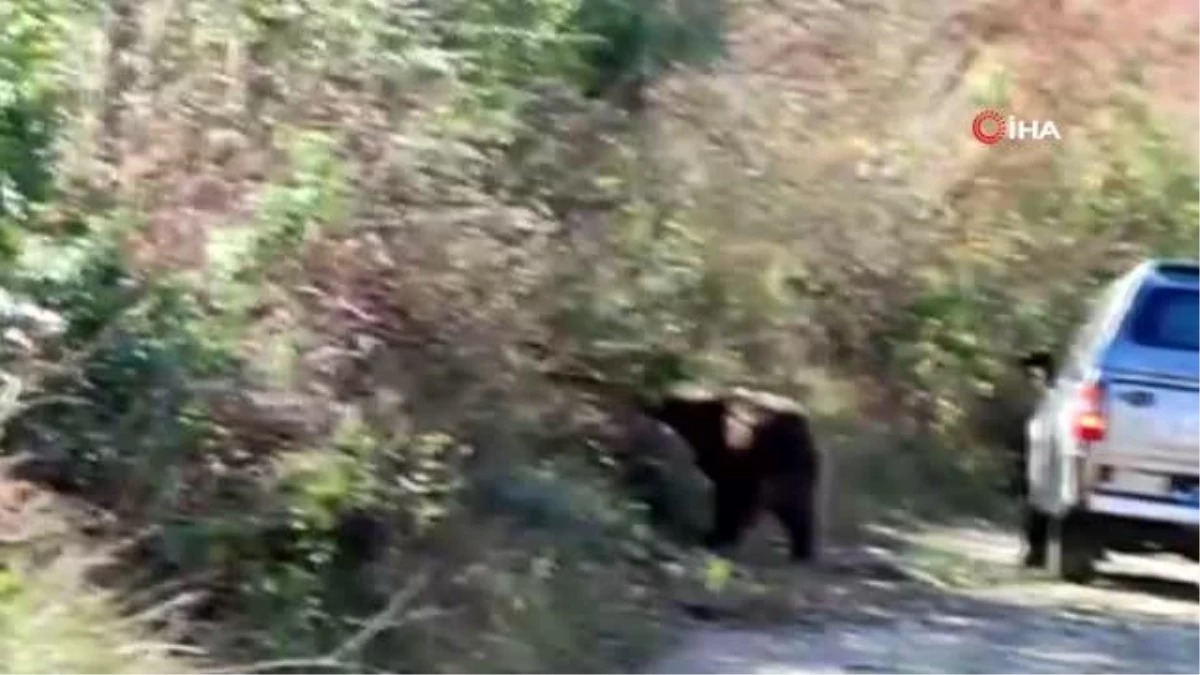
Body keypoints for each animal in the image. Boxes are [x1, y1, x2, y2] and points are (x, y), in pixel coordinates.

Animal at [638, 384, 825, 557]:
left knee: (787, 503)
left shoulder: (735, 458)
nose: (647, 408)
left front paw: (719, 535)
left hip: (777, 462)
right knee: (796, 507)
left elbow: (733, 497)